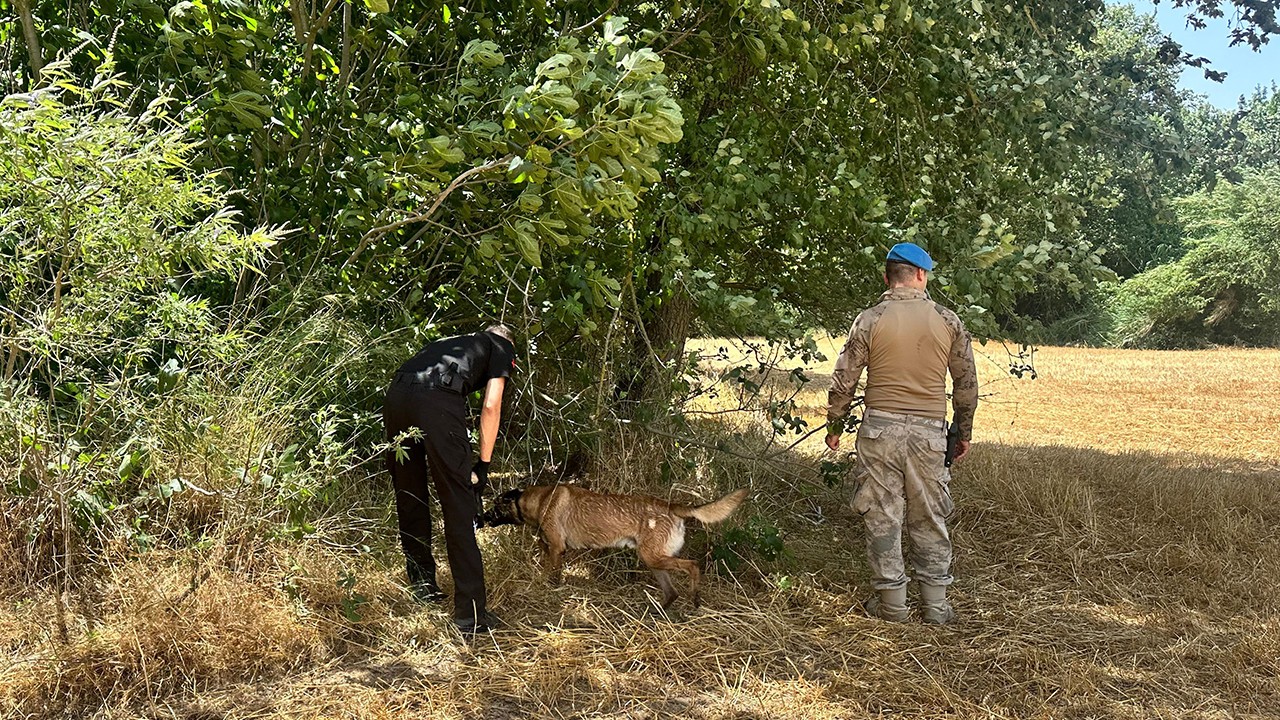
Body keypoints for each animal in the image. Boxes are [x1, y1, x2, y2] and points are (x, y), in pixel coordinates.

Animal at [486, 481, 747, 604]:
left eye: (496, 506)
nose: (482, 518)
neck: (539, 500)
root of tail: (673, 506)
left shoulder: (557, 549)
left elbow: (552, 575)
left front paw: (550, 588)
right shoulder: (551, 547)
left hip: (654, 558)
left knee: (693, 566)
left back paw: (695, 598)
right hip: (653, 560)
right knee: (671, 593)